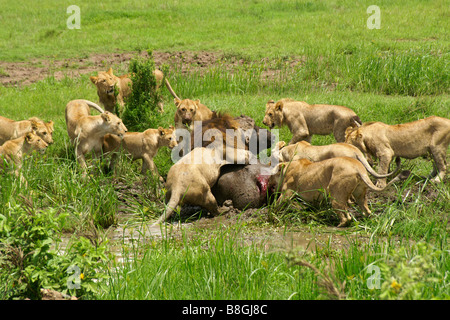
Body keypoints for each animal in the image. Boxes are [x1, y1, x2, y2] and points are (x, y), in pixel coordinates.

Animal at [268, 158, 410, 228]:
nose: (269, 183)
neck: (286, 167)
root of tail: (359, 167)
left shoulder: (287, 192)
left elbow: (277, 205)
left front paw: (271, 217)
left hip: (336, 194)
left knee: (346, 217)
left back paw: (338, 225)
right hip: (360, 194)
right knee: (367, 211)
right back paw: (365, 220)